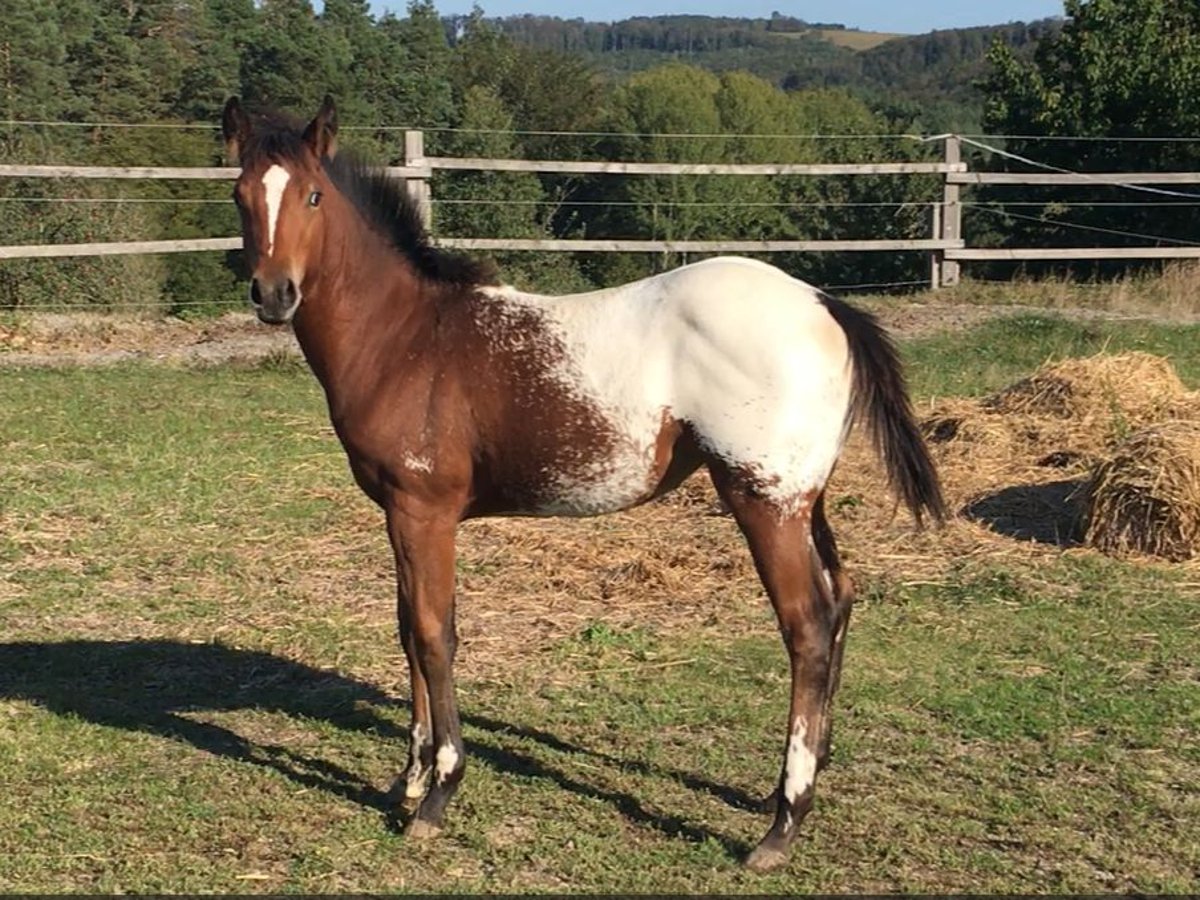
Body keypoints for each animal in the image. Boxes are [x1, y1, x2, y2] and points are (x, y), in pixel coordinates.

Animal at [220, 95, 940, 868]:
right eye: (239, 194)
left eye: (313, 196)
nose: (274, 294)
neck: (408, 337)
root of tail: (825, 304)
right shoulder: (396, 514)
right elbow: (406, 630)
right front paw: (405, 783)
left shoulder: (424, 511)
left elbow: (435, 633)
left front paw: (438, 794)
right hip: (807, 500)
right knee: (842, 600)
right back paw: (802, 780)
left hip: (764, 502)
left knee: (806, 625)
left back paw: (781, 825)